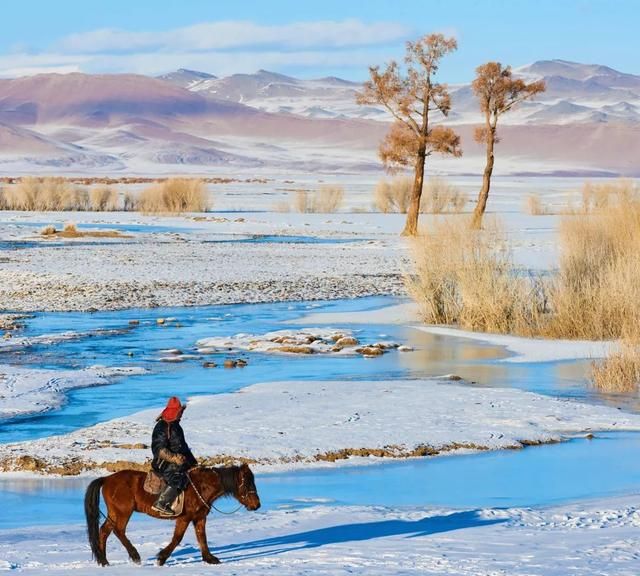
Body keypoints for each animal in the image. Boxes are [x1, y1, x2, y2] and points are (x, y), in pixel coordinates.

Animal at [84, 464, 260, 568]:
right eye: (247, 483)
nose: (257, 505)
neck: (200, 487)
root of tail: (106, 479)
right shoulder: (184, 518)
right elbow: (177, 538)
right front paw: (161, 558)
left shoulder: (199, 518)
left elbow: (202, 537)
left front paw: (209, 559)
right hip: (123, 512)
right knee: (118, 530)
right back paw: (134, 556)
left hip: (115, 513)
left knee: (104, 531)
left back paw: (104, 561)